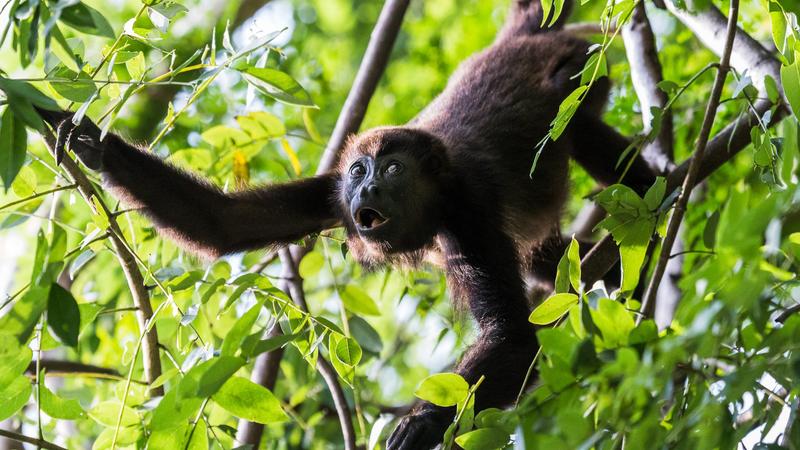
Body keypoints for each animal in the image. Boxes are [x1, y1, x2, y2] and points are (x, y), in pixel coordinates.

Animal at [34, 1, 652, 448]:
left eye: (393, 169)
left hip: (581, 66)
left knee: (581, 124)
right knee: (546, 257)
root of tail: (522, 40)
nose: (368, 189)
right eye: (358, 170)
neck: (431, 205)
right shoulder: (331, 196)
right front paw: (89, 141)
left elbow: (514, 337)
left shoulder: (467, 209)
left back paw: (654, 204)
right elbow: (227, 223)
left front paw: (421, 424)